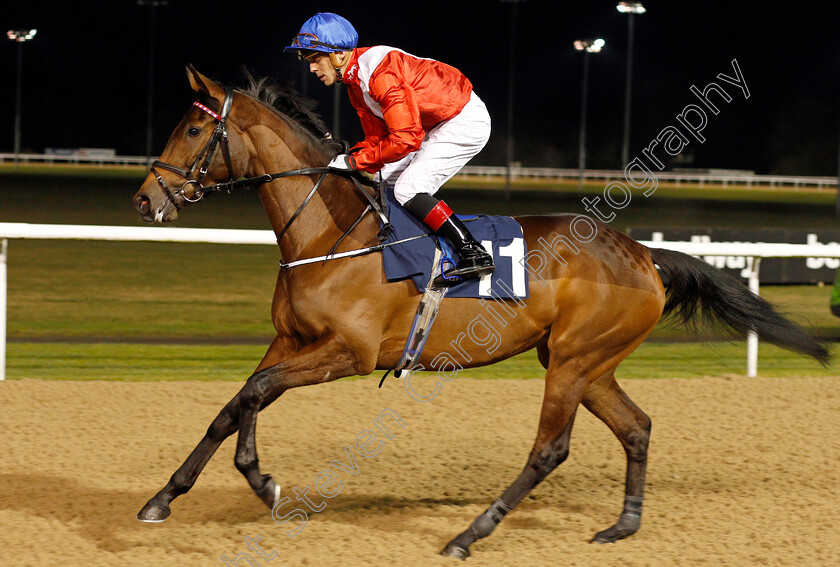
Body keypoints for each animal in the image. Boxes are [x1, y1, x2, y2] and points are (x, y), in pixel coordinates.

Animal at [131, 67, 828, 560]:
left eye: (191, 131)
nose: (143, 200)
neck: (331, 232)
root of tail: (644, 255)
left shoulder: (347, 354)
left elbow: (253, 394)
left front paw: (262, 481)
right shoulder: (291, 341)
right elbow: (234, 404)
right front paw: (166, 498)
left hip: (572, 360)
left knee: (550, 450)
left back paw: (469, 534)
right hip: (587, 361)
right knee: (636, 427)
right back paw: (622, 525)